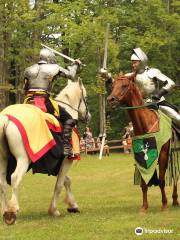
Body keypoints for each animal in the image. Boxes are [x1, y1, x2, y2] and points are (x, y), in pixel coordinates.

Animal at [0, 78, 90, 224]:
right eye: (85, 97)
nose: (88, 117)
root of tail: (6, 117)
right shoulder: (66, 160)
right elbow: (59, 184)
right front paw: (54, 210)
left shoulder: (58, 164)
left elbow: (66, 180)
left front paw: (73, 205)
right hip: (23, 159)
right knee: (15, 178)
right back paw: (12, 210)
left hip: (3, 158)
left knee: (2, 183)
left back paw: (4, 210)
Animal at [107, 75, 179, 212]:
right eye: (112, 86)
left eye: (124, 86)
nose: (110, 100)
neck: (146, 122)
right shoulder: (139, 156)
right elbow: (144, 183)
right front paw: (144, 207)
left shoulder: (162, 154)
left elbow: (161, 180)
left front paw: (164, 205)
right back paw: (175, 199)